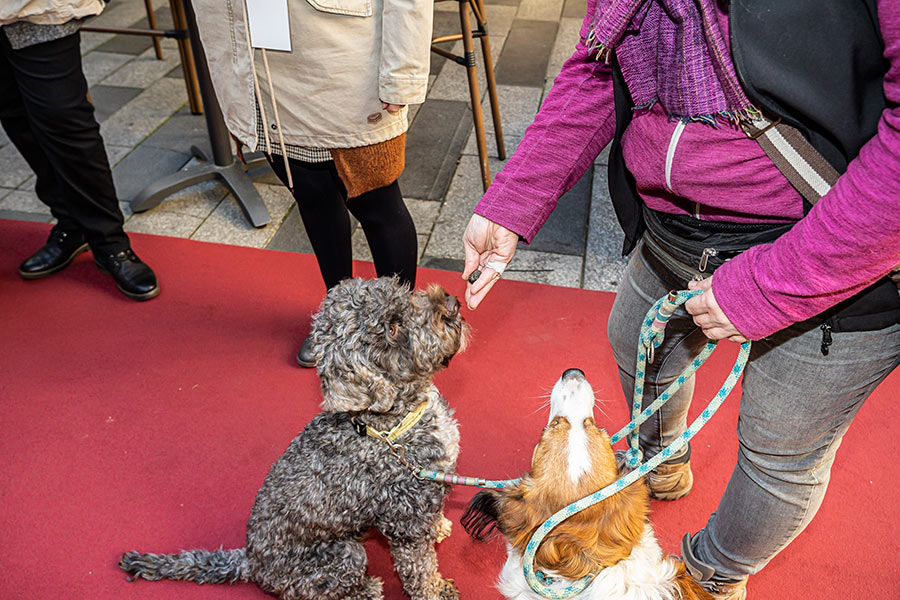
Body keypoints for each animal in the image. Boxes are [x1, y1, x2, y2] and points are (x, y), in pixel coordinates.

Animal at [120, 278, 472, 600]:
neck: (388, 426)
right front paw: (437, 591)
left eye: (403, 290)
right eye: (392, 328)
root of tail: (250, 561)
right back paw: (366, 590)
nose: (452, 302)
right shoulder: (406, 519)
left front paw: (439, 527)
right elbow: (419, 569)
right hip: (343, 555)